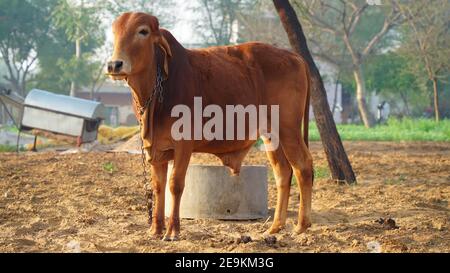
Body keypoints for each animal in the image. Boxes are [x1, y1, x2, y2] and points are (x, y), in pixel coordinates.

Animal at [108, 12, 312, 240]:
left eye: (142, 31)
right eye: (114, 32)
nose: (114, 65)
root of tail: (295, 57)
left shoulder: (183, 144)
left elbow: (175, 185)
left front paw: (172, 231)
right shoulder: (156, 148)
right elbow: (158, 186)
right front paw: (155, 229)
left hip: (288, 129)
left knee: (303, 167)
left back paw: (301, 225)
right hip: (271, 135)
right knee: (283, 172)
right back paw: (275, 226)